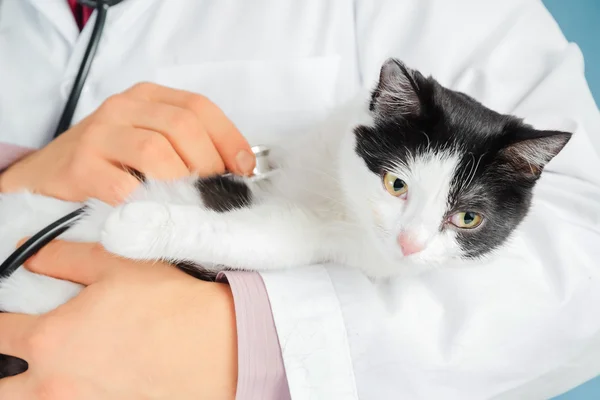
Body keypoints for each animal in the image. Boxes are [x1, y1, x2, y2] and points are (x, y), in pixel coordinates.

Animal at [0, 57, 572, 376]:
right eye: (397, 184)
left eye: (468, 218)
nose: (410, 243)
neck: (331, 189)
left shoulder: (316, 240)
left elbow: (249, 237)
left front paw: (134, 225)